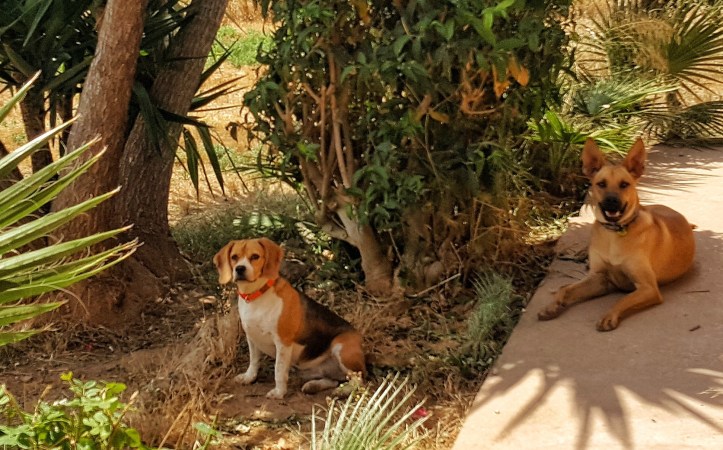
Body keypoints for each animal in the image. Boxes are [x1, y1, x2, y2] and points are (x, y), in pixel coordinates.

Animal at [214, 238, 366, 399]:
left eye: (255, 256)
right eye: (234, 257)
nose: (240, 269)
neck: (256, 295)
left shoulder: (282, 343)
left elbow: (279, 370)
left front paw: (279, 392)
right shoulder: (252, 338)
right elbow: (253, 362)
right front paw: (249, 378)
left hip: (341, 347)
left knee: (359, 379)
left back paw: (343, 390)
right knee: (333, 380)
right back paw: (313, 386)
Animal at [538, 138, 695, 331]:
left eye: (624, 184)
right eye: (601, 184)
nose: (611, 201)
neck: (614, 234)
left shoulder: (648, 288)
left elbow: (624, 299)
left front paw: (609, 316)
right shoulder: (599, 278)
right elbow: (565, 289)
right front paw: (552, 306)